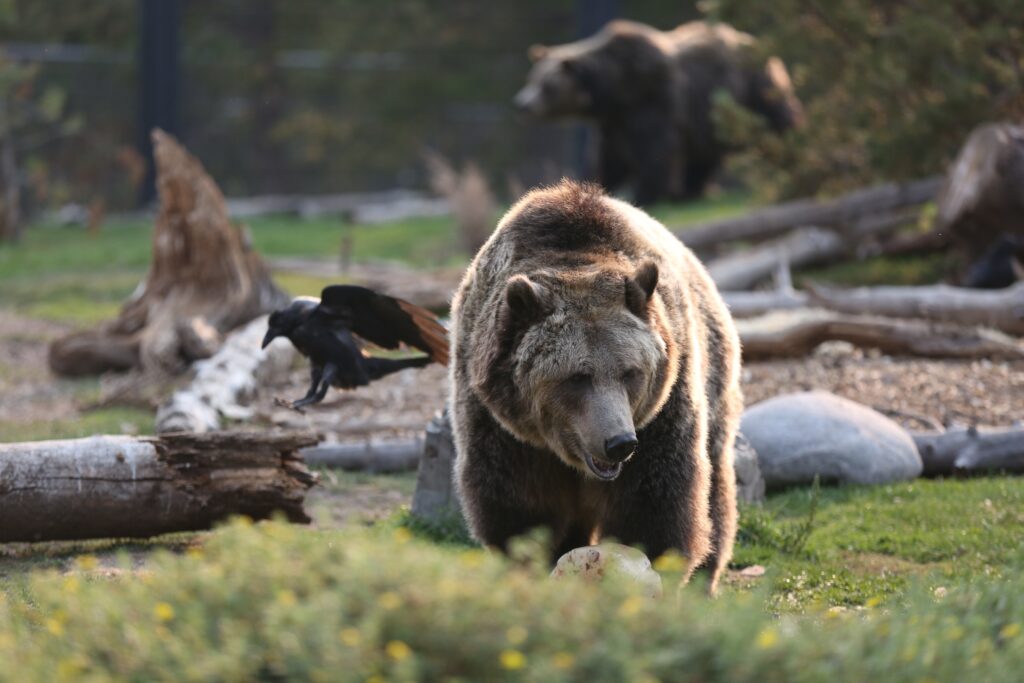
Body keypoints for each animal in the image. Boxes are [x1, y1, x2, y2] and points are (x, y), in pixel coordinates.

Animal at [449, 179, 742, 592]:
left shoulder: (662, 410)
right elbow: (518, 503)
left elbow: (657, 500)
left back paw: (706, 578)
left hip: (713, 369)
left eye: (630, 372)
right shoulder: (500, 422)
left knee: (715, 480)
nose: (619, 442)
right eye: (576, 377)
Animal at [513, 20, 802, 205]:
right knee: (704, 156)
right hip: (712, 116)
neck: (613, 89)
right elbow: (607, 158)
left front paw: (645, 194)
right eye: (531, 78)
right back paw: (690, 191)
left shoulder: (651, 99)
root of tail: (752, 40)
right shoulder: (613, 122)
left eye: (547, 86)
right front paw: (591, 184)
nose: (522, 104)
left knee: (777, 121)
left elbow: (654, 150)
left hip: (750, 91)